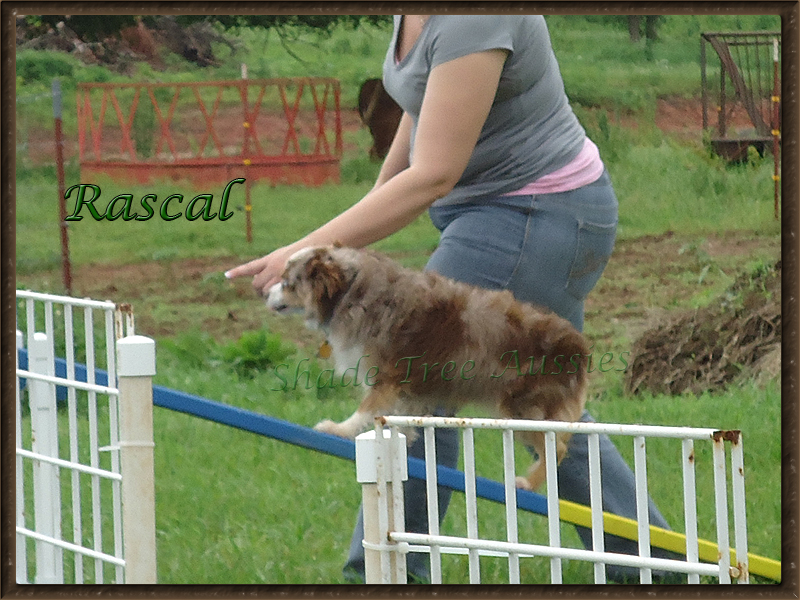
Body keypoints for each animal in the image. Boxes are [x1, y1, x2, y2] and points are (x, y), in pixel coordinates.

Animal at [268, 246, 588, 490]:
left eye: (287, 283)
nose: (264, 293)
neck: (351, 290)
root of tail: (580, 348)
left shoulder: (388, 376)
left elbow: (367, 409)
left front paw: (339, 428)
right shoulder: (409, 388)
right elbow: (401, 414)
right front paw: (403, 435)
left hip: (522, 410)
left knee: (556, 447)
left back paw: (527, 483)